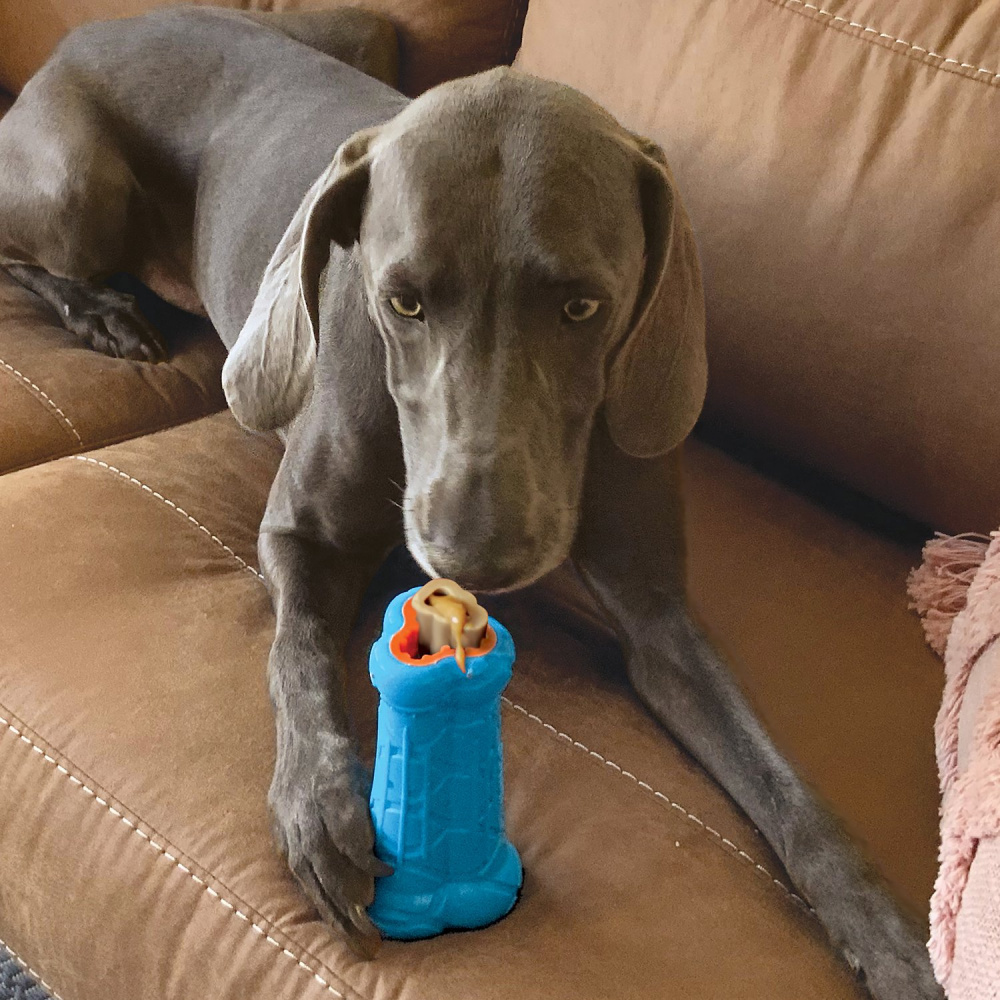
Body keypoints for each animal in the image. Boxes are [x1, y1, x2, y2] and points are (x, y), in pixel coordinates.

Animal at [0, 5, 936, 992]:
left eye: (584, 307)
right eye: (402, 301)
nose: (475, 553)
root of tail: (79, 41)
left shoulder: (661, 618)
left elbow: (788, 787)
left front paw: (889, 937)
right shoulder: (296, 536)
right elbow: (294, 654)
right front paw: (317, 805)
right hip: (78, 186)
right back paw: (103, 312)